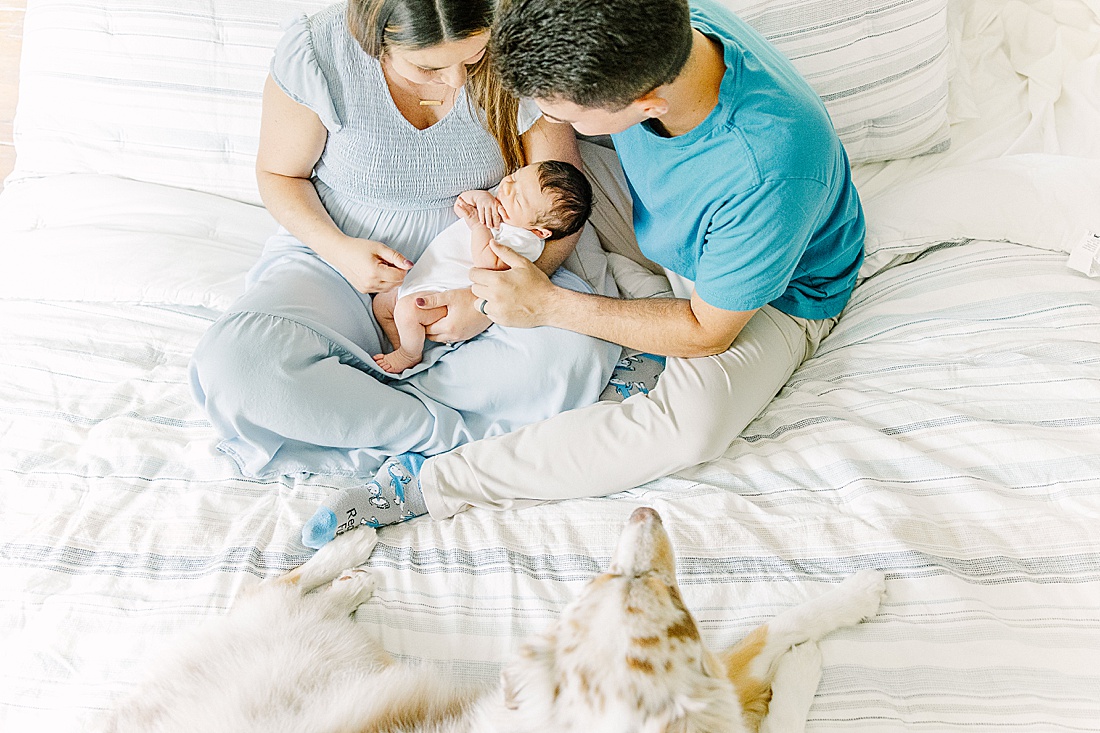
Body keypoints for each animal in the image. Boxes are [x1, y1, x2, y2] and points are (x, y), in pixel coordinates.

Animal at [107, 508, 884, 730]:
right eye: (614, 578)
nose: (644, 511)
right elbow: (772, 648)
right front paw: (811, 660)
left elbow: (781, 628)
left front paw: (854, 596)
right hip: (272, 641)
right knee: (282, 586)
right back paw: (351, 556)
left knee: (309, 598)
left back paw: (356, 569)